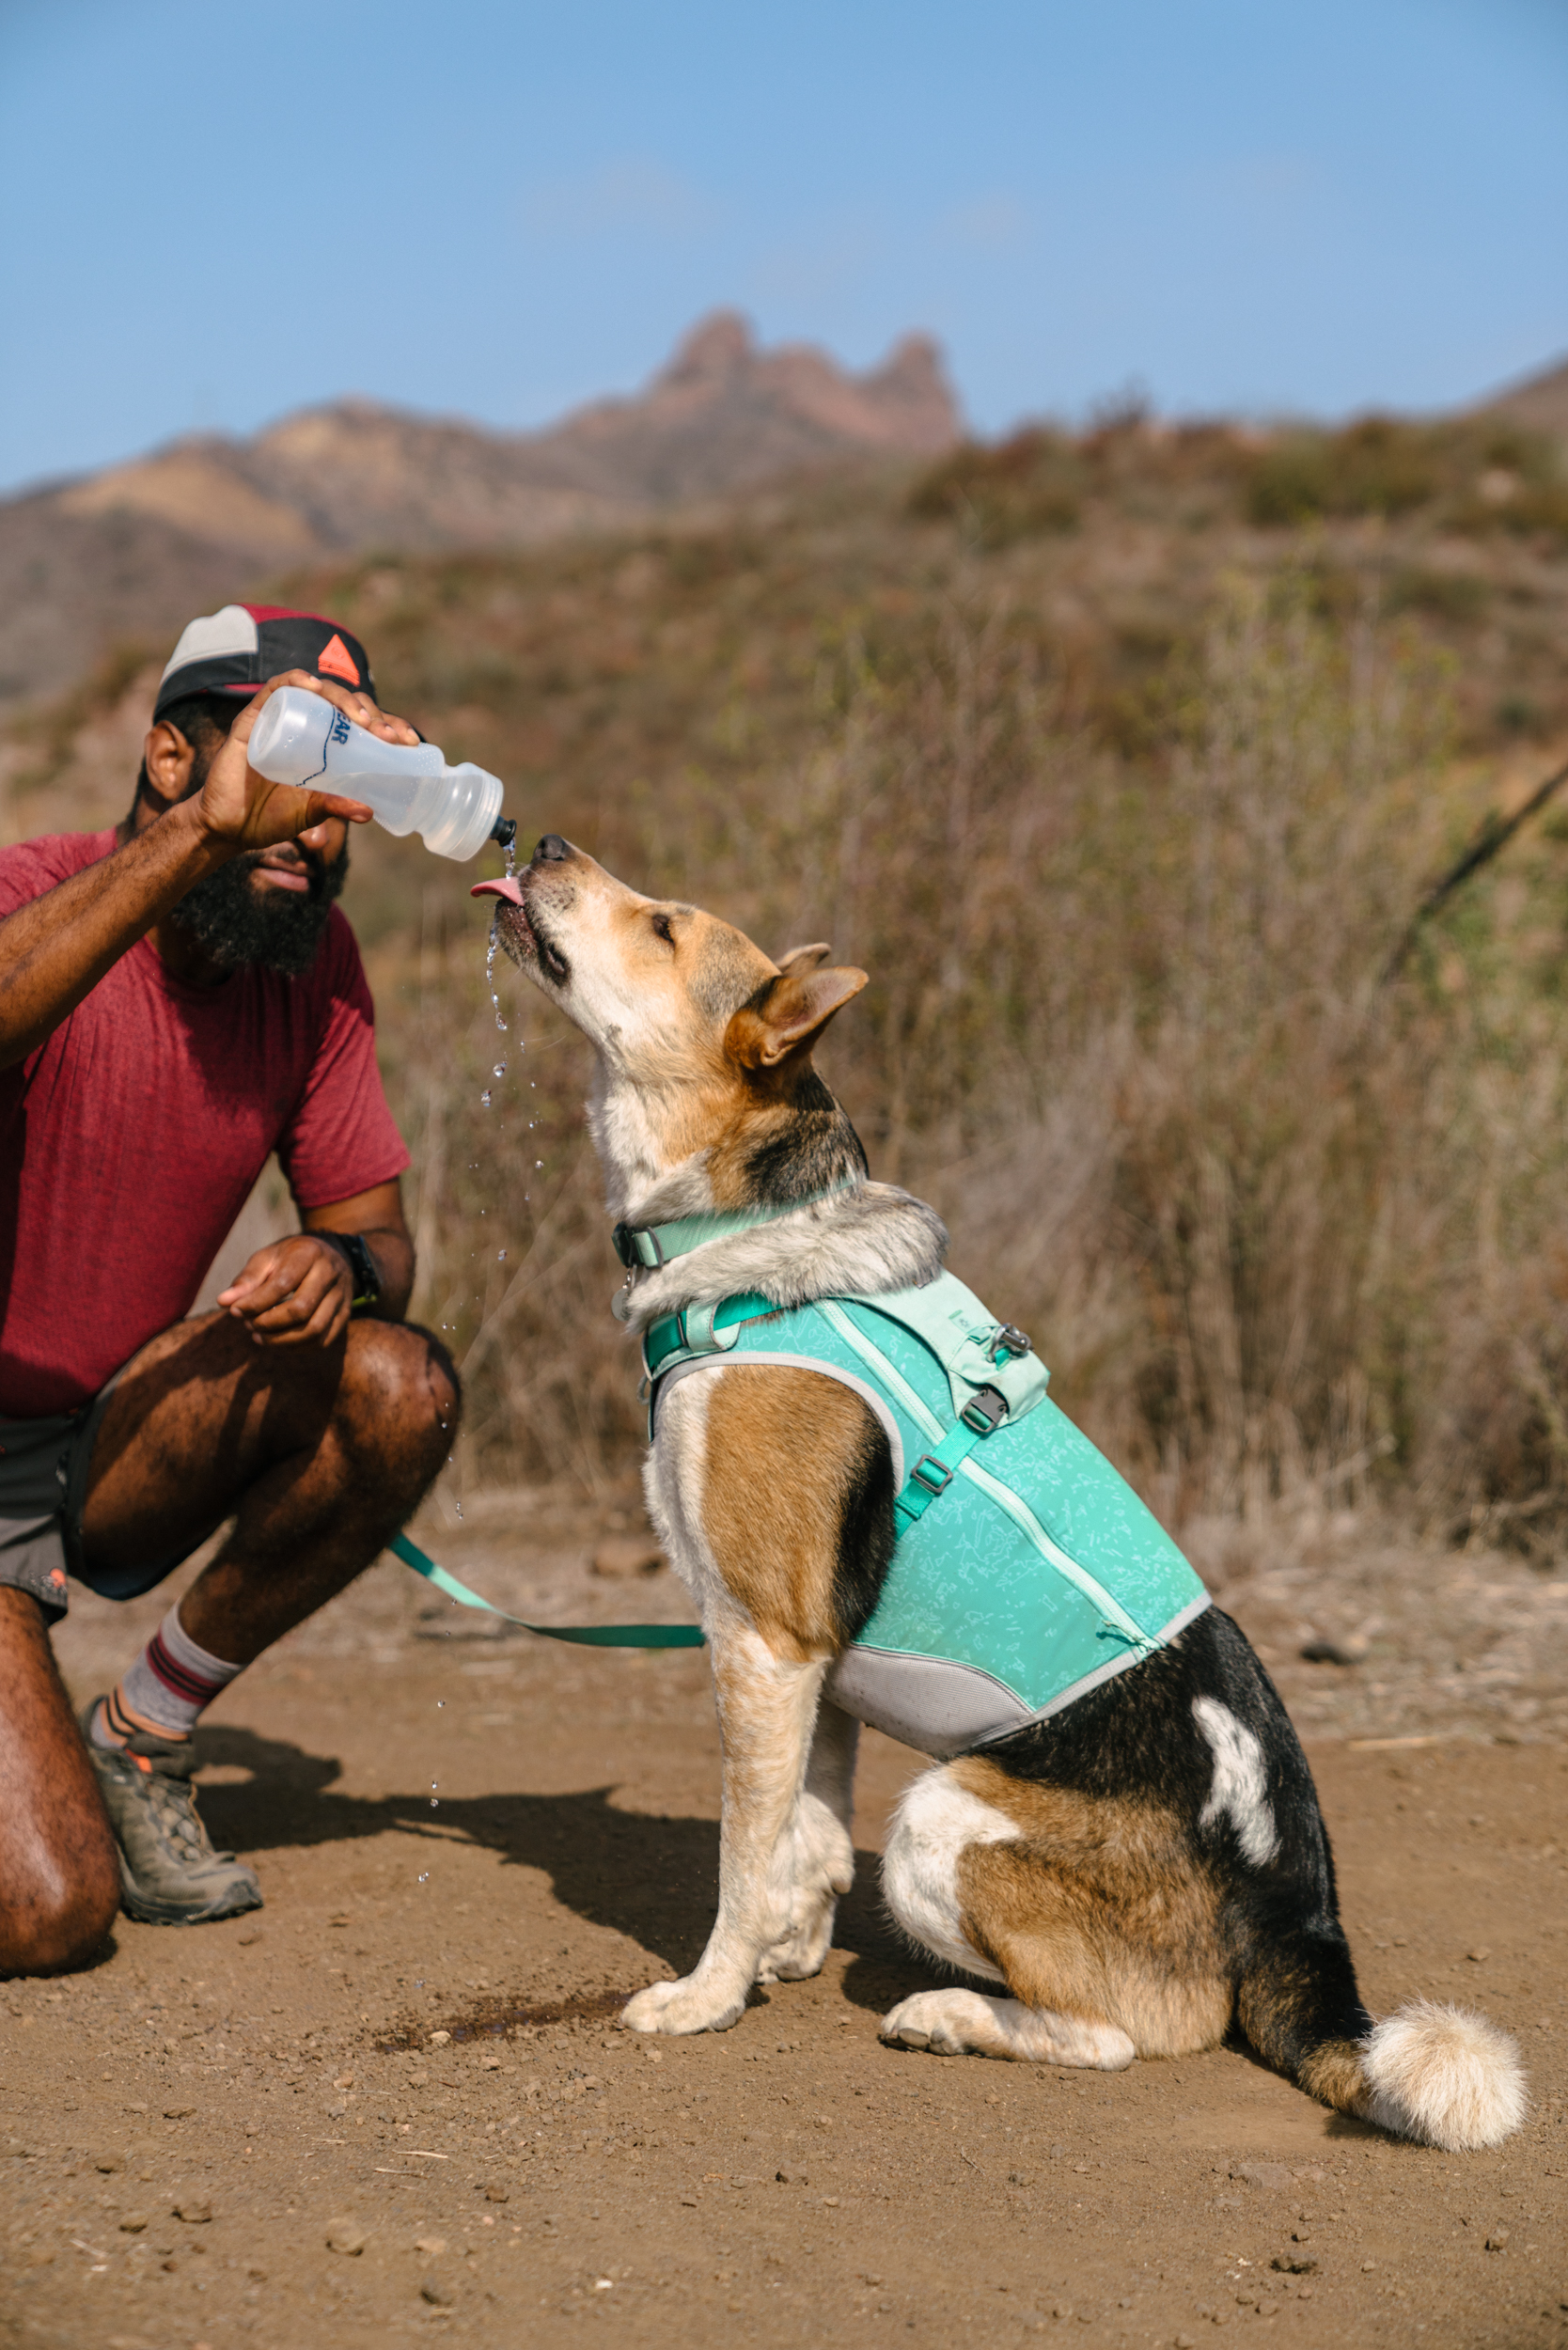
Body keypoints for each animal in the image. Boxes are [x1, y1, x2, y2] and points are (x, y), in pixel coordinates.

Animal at [479, 837, 1532, 2153]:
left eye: (665, 925)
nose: (541, 843)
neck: (747, 1226)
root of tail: (1301, 1911)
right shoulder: (816, 1659)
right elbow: (804, 1839)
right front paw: (785, 1954)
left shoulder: (761, 1642)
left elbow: (741, 1855)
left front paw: (708, 1995)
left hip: (941, 1820)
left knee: (1132, 2032)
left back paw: (947, 2015)